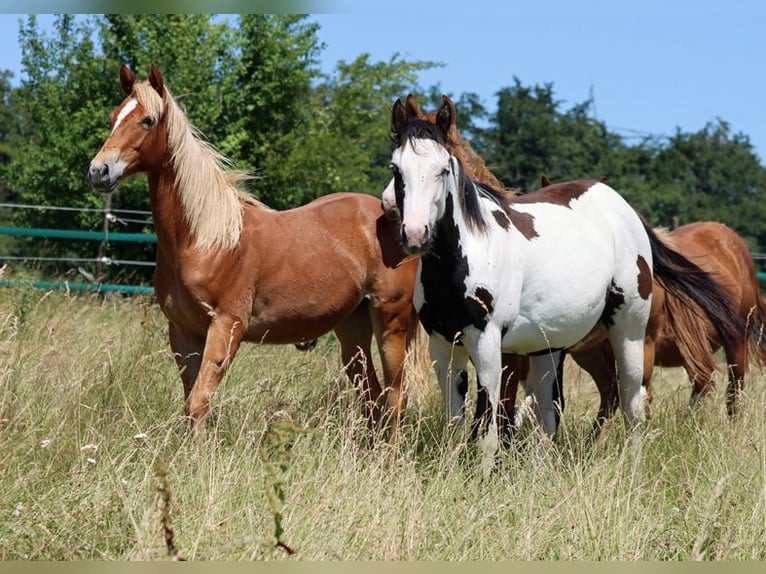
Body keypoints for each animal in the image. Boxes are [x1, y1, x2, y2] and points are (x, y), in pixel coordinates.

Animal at [87, 64, 421, 438]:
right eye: (114, 117)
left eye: (147, 120)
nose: (98, 171)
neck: (204, 240)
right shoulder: (183, 333)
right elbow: (191, 402)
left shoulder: (226, 325)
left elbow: (198, 402)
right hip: (352, 328)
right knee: (372, 398)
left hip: (390, 321)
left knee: (396, 398)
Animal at [386, 94, 743, 463]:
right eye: (396, 168)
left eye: (443, 169)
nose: (414, 234)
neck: (468, 253)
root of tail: (622, 206)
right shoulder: (443, 346)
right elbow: (455, 423)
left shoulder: (488, 344)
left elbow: (488, 425)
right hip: (550, 346)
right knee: (551, 413)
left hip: (631, 334)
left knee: (634, 403)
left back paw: (630, 466)